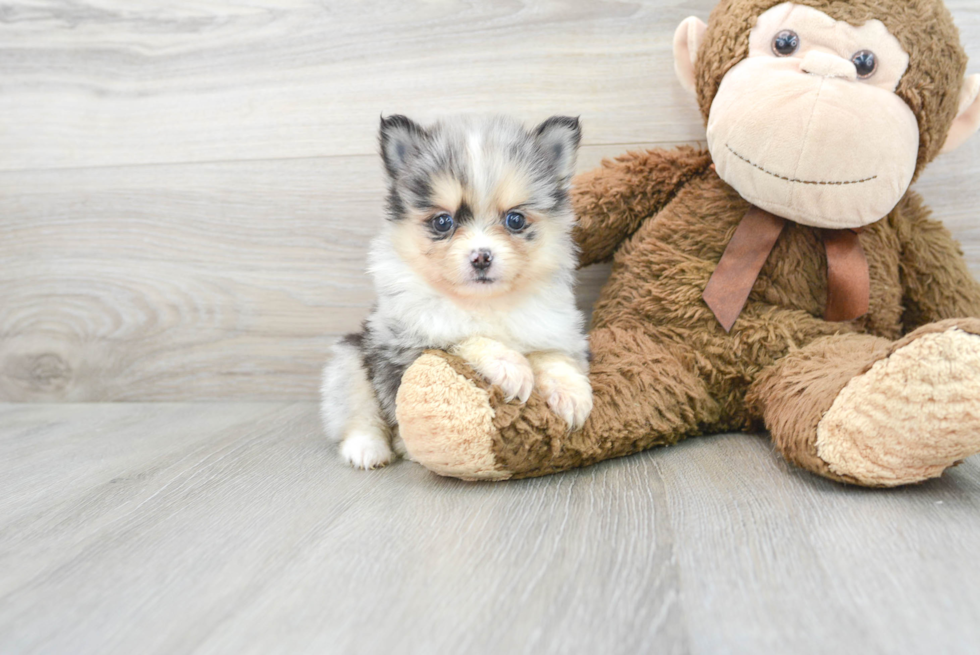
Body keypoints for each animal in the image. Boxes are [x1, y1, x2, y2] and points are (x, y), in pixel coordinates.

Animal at [326, 114, 592, 472]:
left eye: (515, 219)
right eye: (443, 222)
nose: (481, 257)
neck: (484, 304)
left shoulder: (548, 330)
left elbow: (552, 357)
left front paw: (571, 393)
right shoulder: (412, 343)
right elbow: (466, 338)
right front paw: (510, 366)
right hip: (350, 359)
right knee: (358, 413)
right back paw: (367, 449)